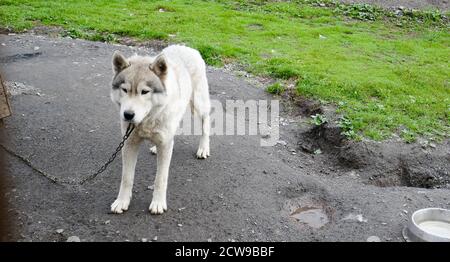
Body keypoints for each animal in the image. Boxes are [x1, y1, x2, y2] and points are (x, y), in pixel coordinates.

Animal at [111, 45, 212, 215]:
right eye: (124, 90)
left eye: (145, 92)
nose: (128, 115)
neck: (147, 120)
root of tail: (186, 47)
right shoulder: (129, 144)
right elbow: (126, 178)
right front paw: (122, 201)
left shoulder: (165, 146)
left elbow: (160, 179)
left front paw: (158, 203)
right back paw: (154, 148)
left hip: (198, 104)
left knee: (206, 123)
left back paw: (203, 148)